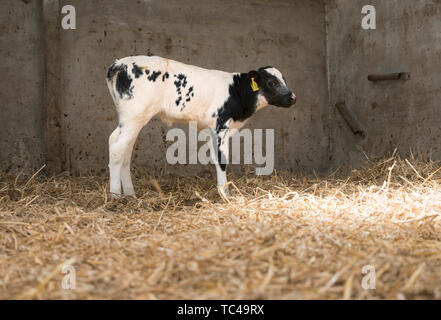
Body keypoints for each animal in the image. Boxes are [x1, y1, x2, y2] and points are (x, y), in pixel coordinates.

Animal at [105, 56, 296, 199]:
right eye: (271, 82)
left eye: (284, 80)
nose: (292, 97)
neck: (236, 91)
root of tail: (119, 64)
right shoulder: (220, 125)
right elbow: (222, 159)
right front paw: (225, 194)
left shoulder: (213, 129)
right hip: (134, 116)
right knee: (117, 147)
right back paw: (115, 196)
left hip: (132, 119)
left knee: (124, 149)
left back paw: (130, 194)